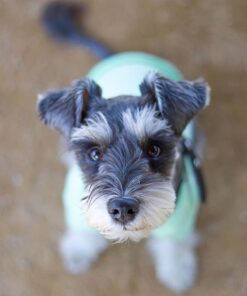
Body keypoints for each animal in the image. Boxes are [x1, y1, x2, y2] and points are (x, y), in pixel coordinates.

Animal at [37, 1, 210, 294]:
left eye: (154, 149)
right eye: (94, 153)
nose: (122, 209)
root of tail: (125, 54)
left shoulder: (181, 220)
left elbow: (174, 244)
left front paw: (177, 269)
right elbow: (81, 229)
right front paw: (79, 251)